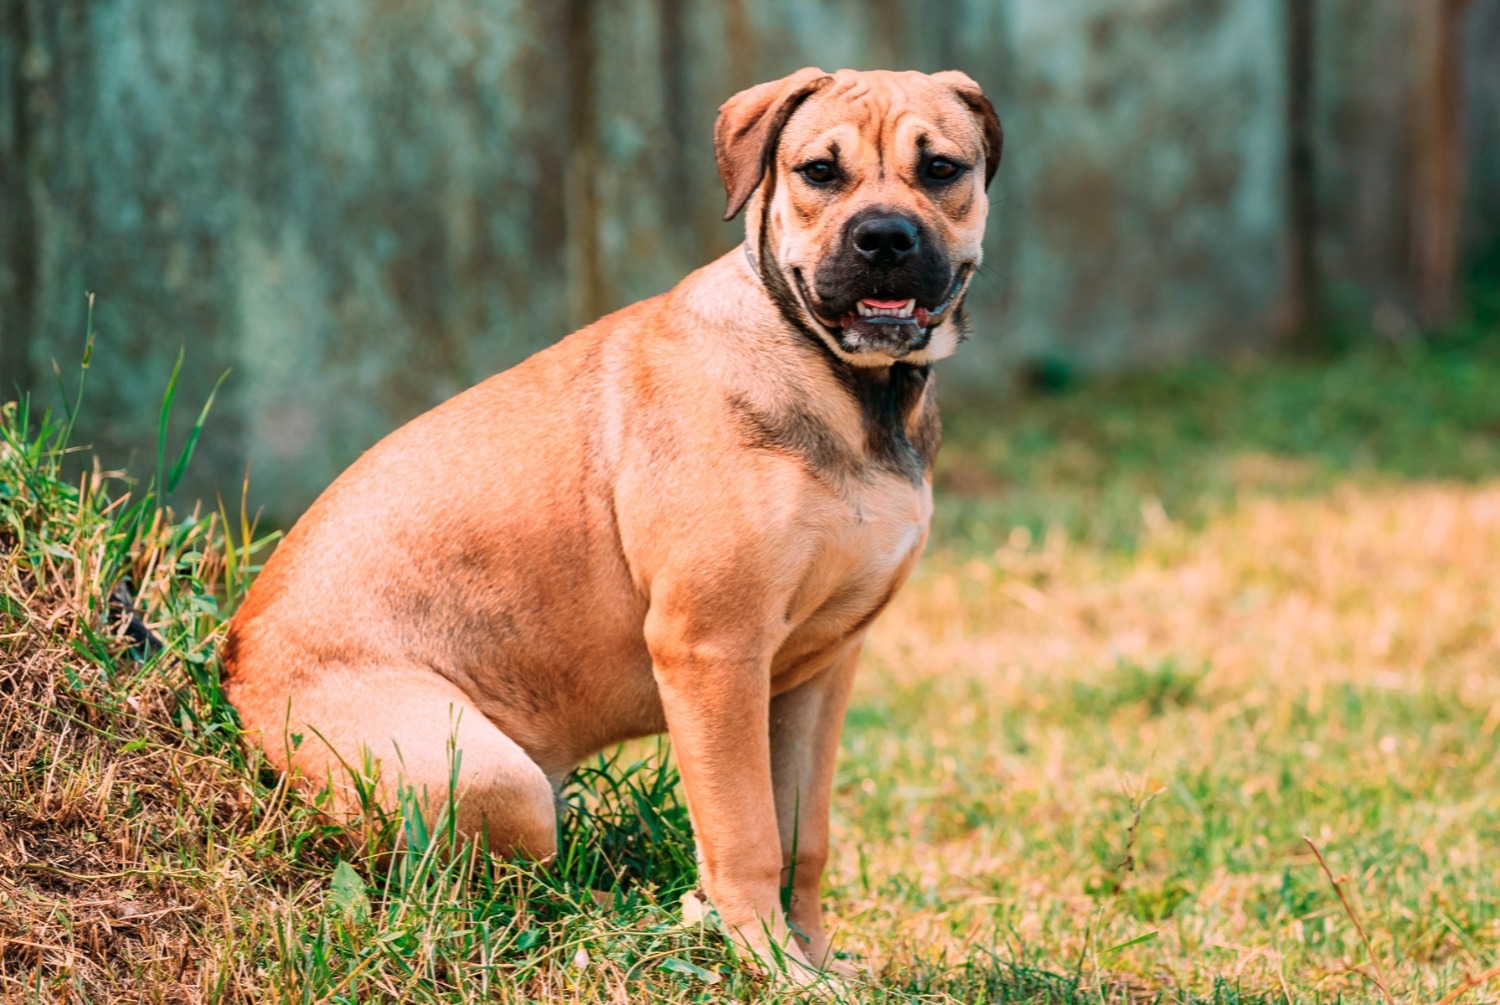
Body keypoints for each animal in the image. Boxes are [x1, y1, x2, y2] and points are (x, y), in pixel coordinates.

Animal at [222, 69, 1002, 978]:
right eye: (818, 171)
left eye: (942, 168)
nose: (883, 238)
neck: (848, 388)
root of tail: (233, 657)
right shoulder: (712, 650)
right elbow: (747, 833)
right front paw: (769, 963)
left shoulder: (819, 669)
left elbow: (803, 836)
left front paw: (814, 958)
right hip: (488, 776)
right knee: (479, 892)